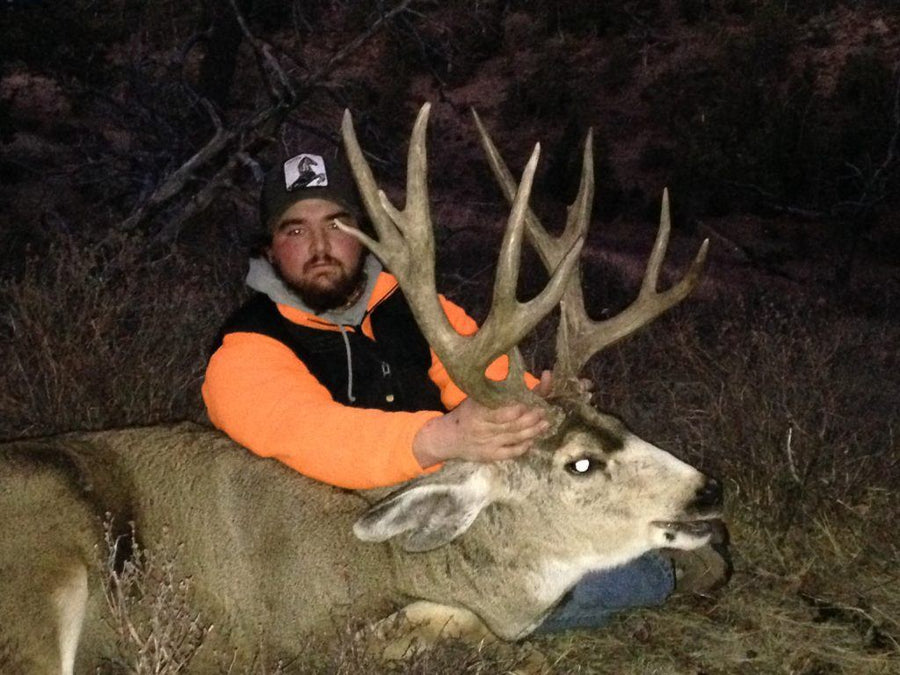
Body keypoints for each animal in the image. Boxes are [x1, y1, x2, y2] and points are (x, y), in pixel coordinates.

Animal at [0, 103, 721, 675]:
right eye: (581, 463)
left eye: (621, 423)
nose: (708, 491)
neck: (389, 559)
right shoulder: (291, 636)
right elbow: (453, 628)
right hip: (41, 567)